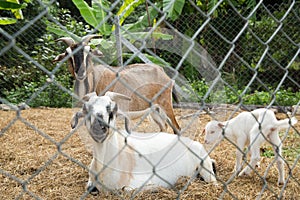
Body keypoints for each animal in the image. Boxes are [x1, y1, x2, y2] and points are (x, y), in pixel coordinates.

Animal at [70, 92, 216, 194]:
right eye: (87, 109)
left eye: (112, 109)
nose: (99, 125)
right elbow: (90, 188)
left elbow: (126, 189)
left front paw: (155, 188)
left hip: (205, 167)